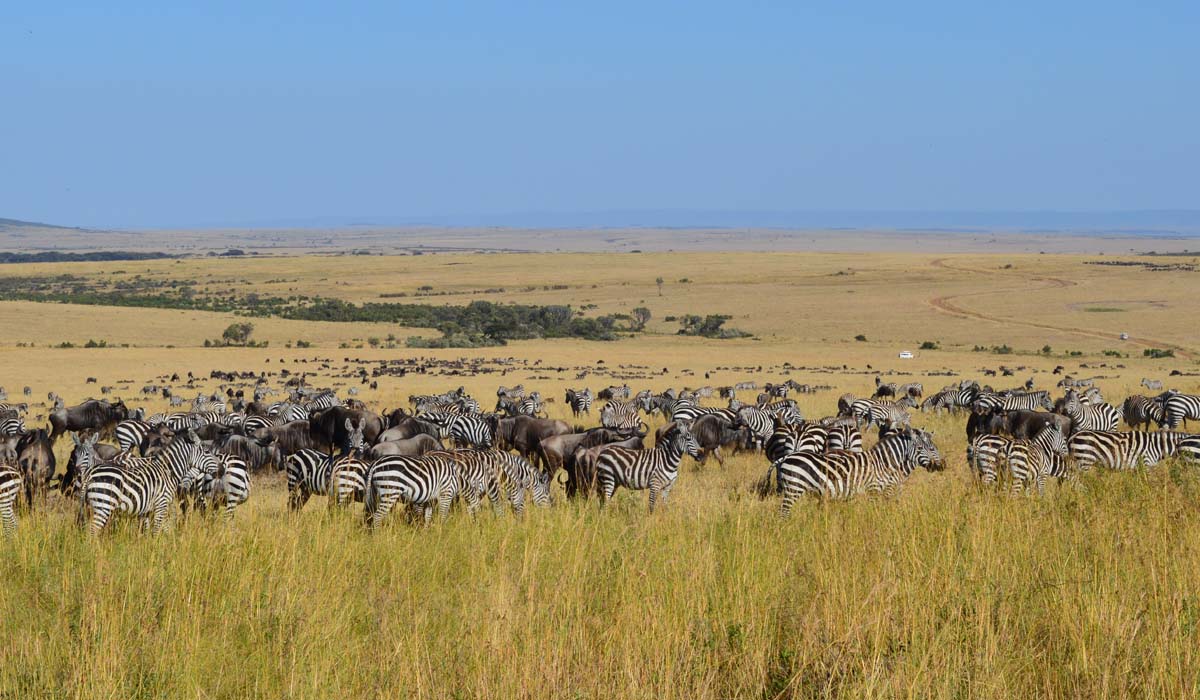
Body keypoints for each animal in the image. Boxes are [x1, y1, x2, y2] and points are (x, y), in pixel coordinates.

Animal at [82, 429, 216, 533]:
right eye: (207, 452)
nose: (220, 468)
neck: (168, 471)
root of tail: (90, 473)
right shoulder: (161, 504)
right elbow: (156, 530)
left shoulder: (147, 510)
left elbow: (148, 531)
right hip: (104, 505)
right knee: (92, 530)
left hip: (92, 505)